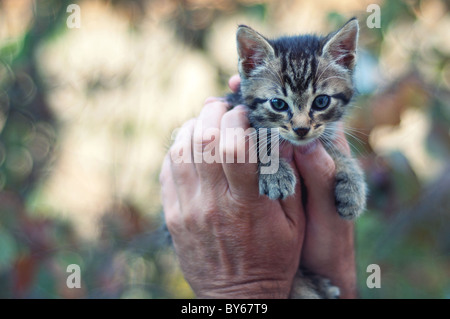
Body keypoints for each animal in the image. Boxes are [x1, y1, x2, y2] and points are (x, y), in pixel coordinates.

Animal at [227, 18, 368, 300]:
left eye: (321, 101)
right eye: (278, 104)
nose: (301, 129)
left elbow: (337, 152)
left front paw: (354, 188)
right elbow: (259, 137)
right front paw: (276, 173)